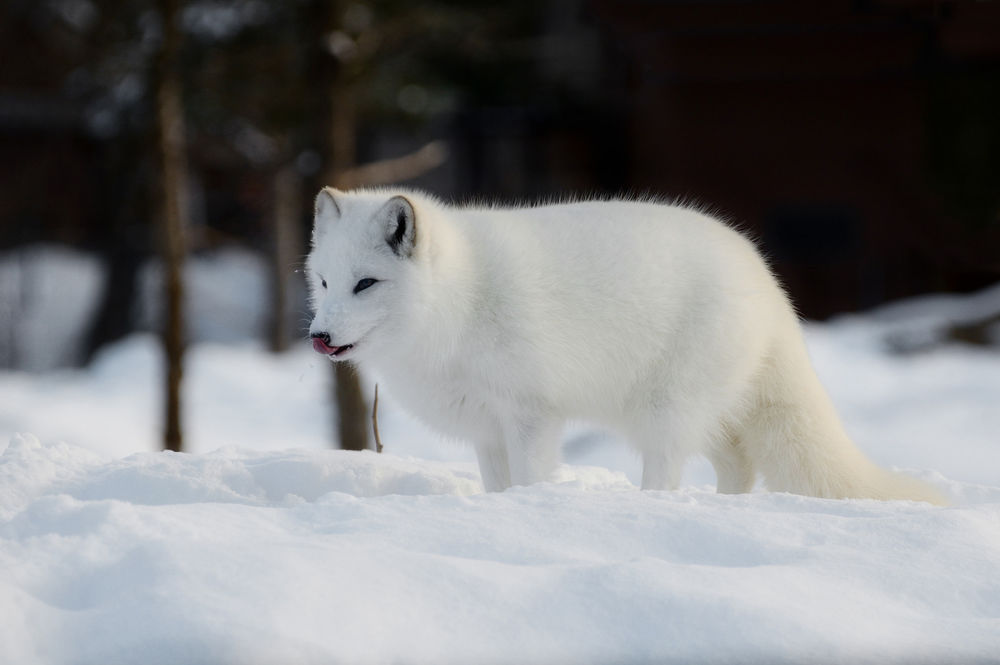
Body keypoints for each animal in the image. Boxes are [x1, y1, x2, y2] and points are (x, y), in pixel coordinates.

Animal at [304, 187, 944, 504]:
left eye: (366, 284)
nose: (319, 338)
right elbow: (497, 485)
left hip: (663, 412)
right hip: (701, 415)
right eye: (325, 282)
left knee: (671, 472)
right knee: (739, 462)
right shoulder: (485, 427)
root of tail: (766, 279)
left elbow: (530, 480)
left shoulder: (532, 416)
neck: (461, 300)